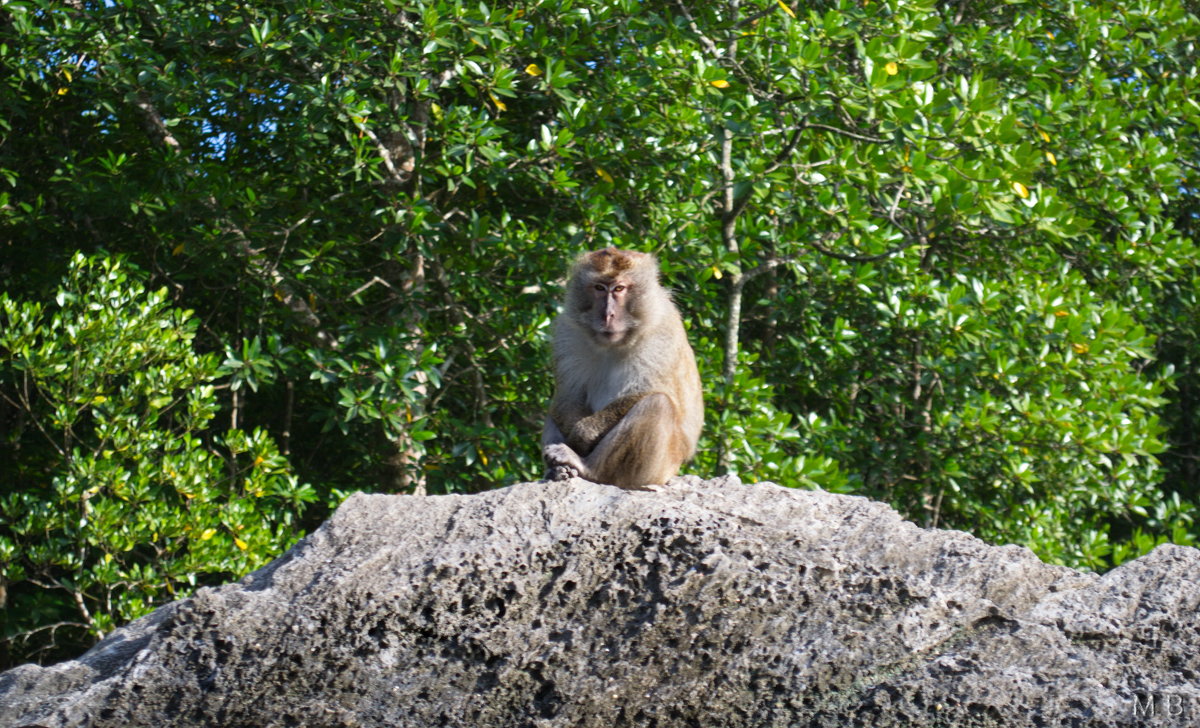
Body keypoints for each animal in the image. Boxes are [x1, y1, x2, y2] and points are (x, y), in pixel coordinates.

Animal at [544, 248, 700, 491]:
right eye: (599, 288)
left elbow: (645, 390)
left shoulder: (662, 331)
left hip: (660, 468)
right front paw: (573, 435)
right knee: (554, 411)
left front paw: (582, 434)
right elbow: (568, 396)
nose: (608, 315)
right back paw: (560, 469)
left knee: (658, 404)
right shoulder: (567, 332)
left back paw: (585, 467)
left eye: (619, 289)